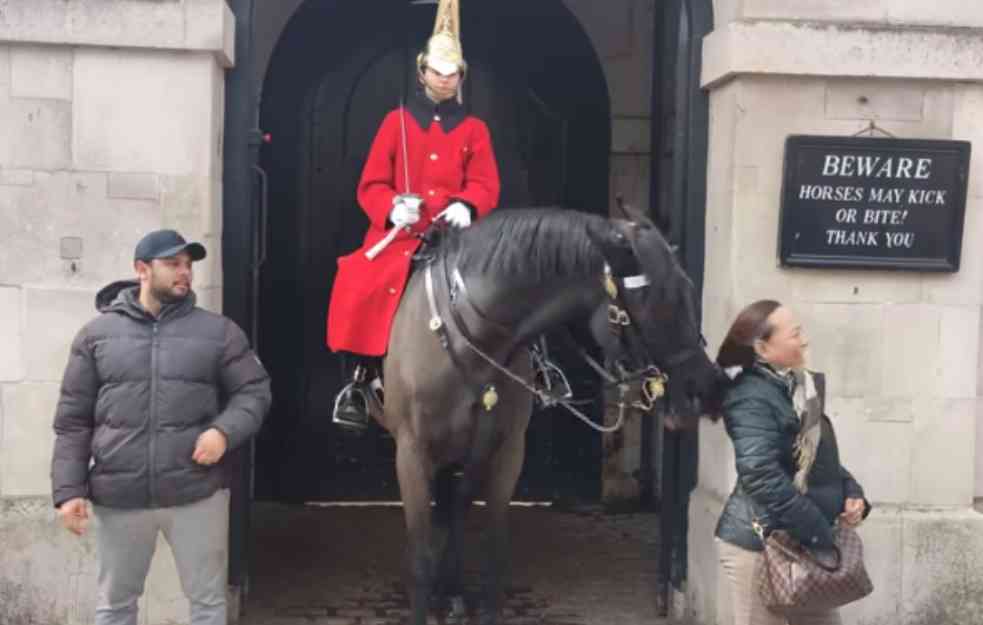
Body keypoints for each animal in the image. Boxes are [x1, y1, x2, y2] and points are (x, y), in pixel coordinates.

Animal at [372, 208, 720, 624]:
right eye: (651, 299)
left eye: (688, 290)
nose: (702, 388)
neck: (472, 339)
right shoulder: (411, 454)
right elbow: (421, 558)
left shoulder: (504, 452)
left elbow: (493, 552)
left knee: (453, 511)